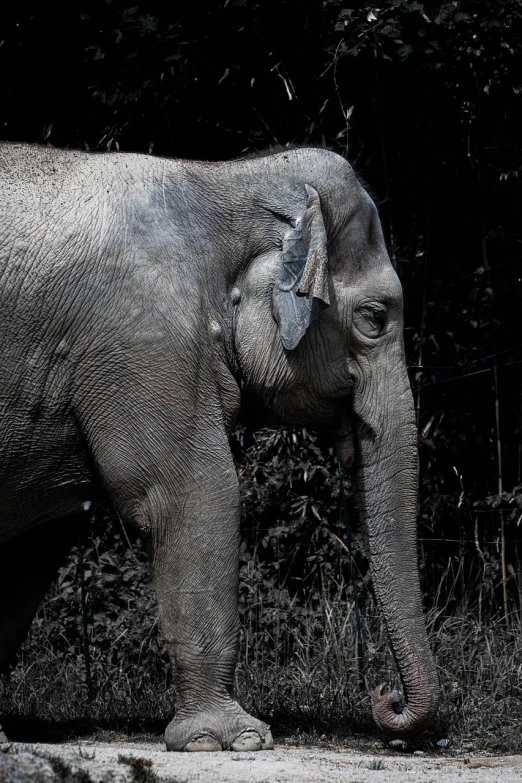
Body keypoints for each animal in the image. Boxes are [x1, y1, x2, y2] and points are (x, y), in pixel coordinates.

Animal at [0, 142, 438, 752]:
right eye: (374, 319)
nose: (385, 700)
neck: (223, 179)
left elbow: (35, 539)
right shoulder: (147, 342)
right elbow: (194, 493)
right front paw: (235, 740)